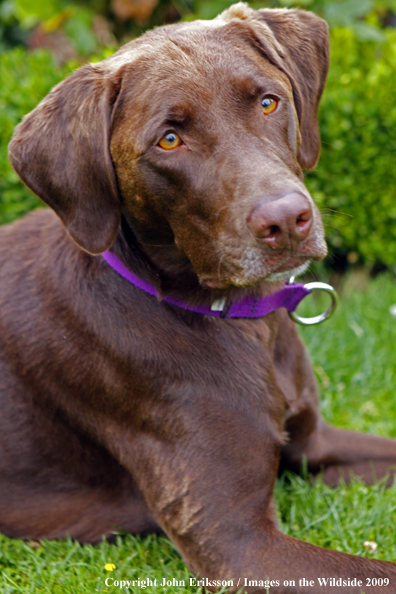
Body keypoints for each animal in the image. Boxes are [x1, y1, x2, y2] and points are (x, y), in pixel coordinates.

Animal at [2, 2, 396, 588]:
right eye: (169, 139)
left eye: (268, 101)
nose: (286, 220)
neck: (247, 321)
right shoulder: (240, 543)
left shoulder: (313, 444)